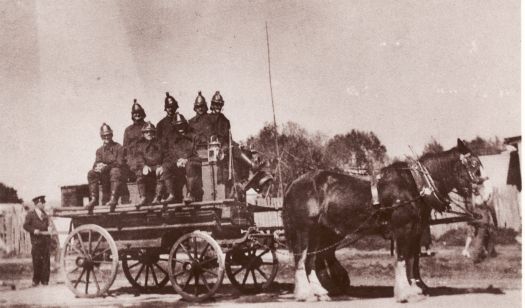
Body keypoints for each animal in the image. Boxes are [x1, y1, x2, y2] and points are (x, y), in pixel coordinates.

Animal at [282, 139, 492, 300]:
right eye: (474, 165)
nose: (487, 195)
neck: (416, 184)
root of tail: (293, 184)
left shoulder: (415, 229)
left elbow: (411, 259)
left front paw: (415, 289)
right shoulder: (403, 228)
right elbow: (402, 258)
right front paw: (404, 293)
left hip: (318, 233)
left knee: (311, 260)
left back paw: (319, 292)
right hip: (304, 230)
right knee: (301, 259)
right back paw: (305, 294)